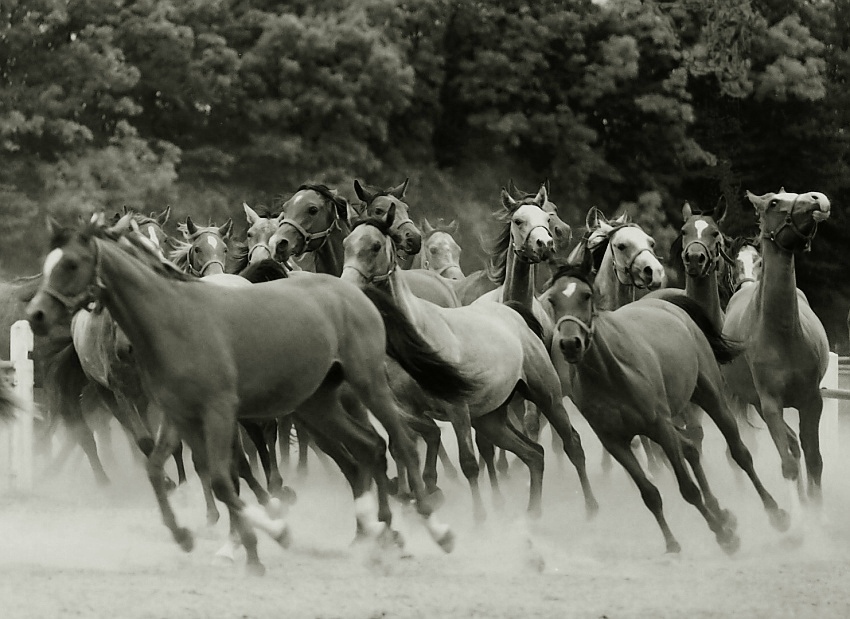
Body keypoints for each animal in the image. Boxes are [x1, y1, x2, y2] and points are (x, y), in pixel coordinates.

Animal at [26, 217, 468, 576]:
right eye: (47, 263)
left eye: (70, 264)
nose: (36, 315)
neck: (174, 321)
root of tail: (352, 291)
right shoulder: (179, 416)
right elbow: (166, 470)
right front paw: (190, 535)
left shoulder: (219, 413)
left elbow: (225, 478)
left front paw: (269, 534)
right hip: (317, 404)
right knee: (369, 448)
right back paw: (377, 537)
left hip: (367, 383)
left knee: (401, 443)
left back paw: (436, 531)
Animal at [338, 207, 596, 524]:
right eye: (346, 244)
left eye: (375, 246)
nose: (345, 286)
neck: (418, 335)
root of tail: (513, 312)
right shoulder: (407, 407)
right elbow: (420, 438)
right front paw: (424, 490)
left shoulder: (457, 409)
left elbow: (469, 463)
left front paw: (479, 517)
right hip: (490, 418)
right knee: (534, 454)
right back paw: (533, 513)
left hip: (546, 396)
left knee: (572, 444)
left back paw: (591, 508)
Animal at [544, 266, 788, 552]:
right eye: (552, 300)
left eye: (586, 295)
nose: (570, 343)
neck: (611, 375)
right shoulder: (615, 442)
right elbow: (650, 494)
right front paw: (673, 543)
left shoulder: (660, 428)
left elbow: (688, 489)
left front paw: (724, 536)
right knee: (691, 448)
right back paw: (721, 512)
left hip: (711, 397)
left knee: (740, 452)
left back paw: (775, 513)